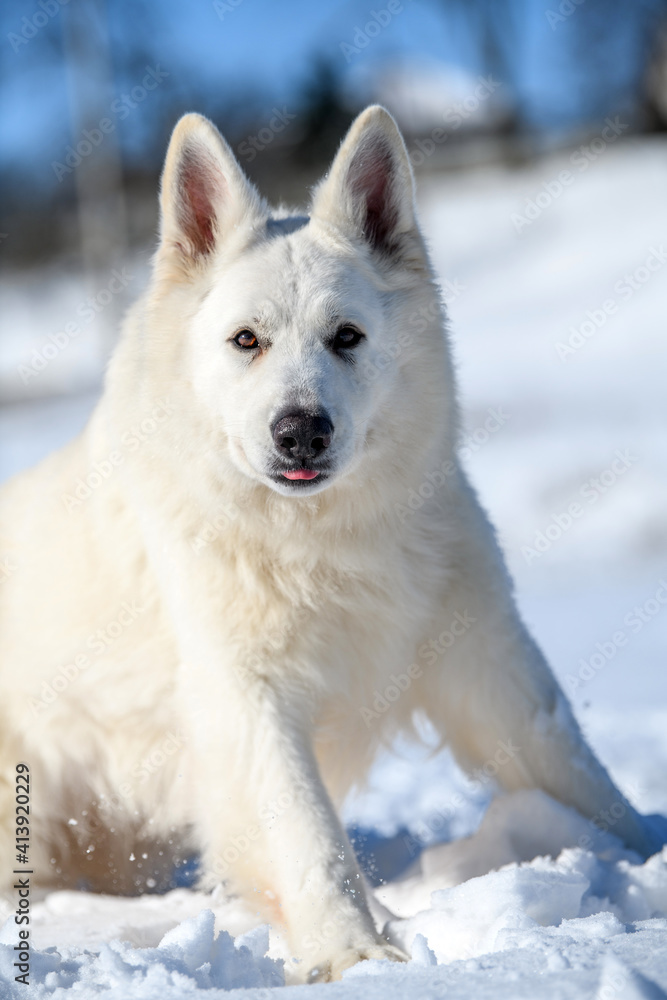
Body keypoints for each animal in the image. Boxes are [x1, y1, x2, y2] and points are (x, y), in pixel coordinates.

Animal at [0, 105, 660, 980]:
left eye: (345, 337)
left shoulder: (486, 657)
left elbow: (578, 773)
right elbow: (305, 830)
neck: (313, 542)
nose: (300, 431)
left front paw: (645, 861)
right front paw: (353, 951)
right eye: (245, 340)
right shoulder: (246, 695)